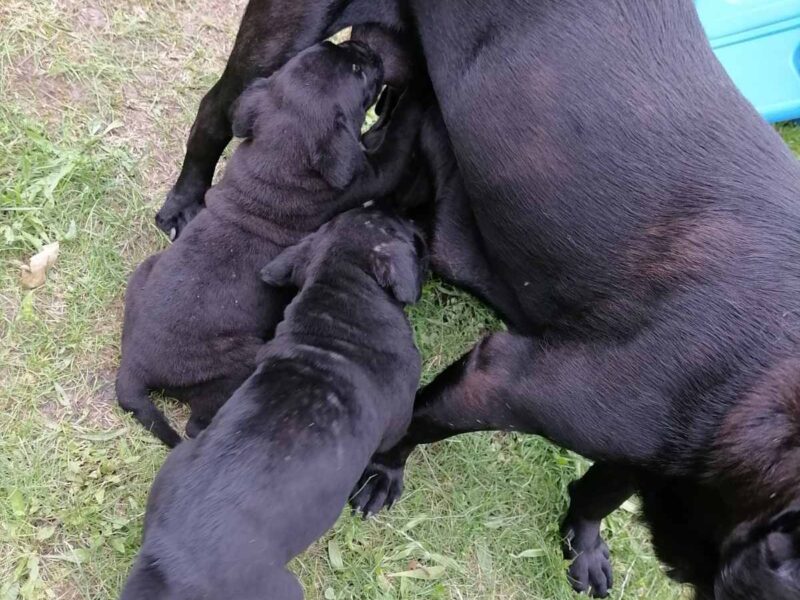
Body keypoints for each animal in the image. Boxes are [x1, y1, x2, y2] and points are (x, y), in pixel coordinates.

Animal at [117, 41, 424, 446]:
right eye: (358, 71)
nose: (359, 44)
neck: (278, 154)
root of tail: (132, 367)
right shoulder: (369, 175)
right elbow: (398, 144)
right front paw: (420, 95)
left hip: (145, 270)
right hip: (237, 363)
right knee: (197, 422)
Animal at [119, 207, 428, 600]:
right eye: (390, 224)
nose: (412, 217)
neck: (339, 305)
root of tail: (171, 559)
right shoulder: (398, 421)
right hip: (284, 587)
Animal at [156, 0, 800, 596]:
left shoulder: (655, 455)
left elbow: (599, 492)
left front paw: (585, 546)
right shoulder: (501, 381)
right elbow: (418, 421)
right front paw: (383, 472)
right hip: (283, 39)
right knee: (218, 109)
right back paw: (185, 204)